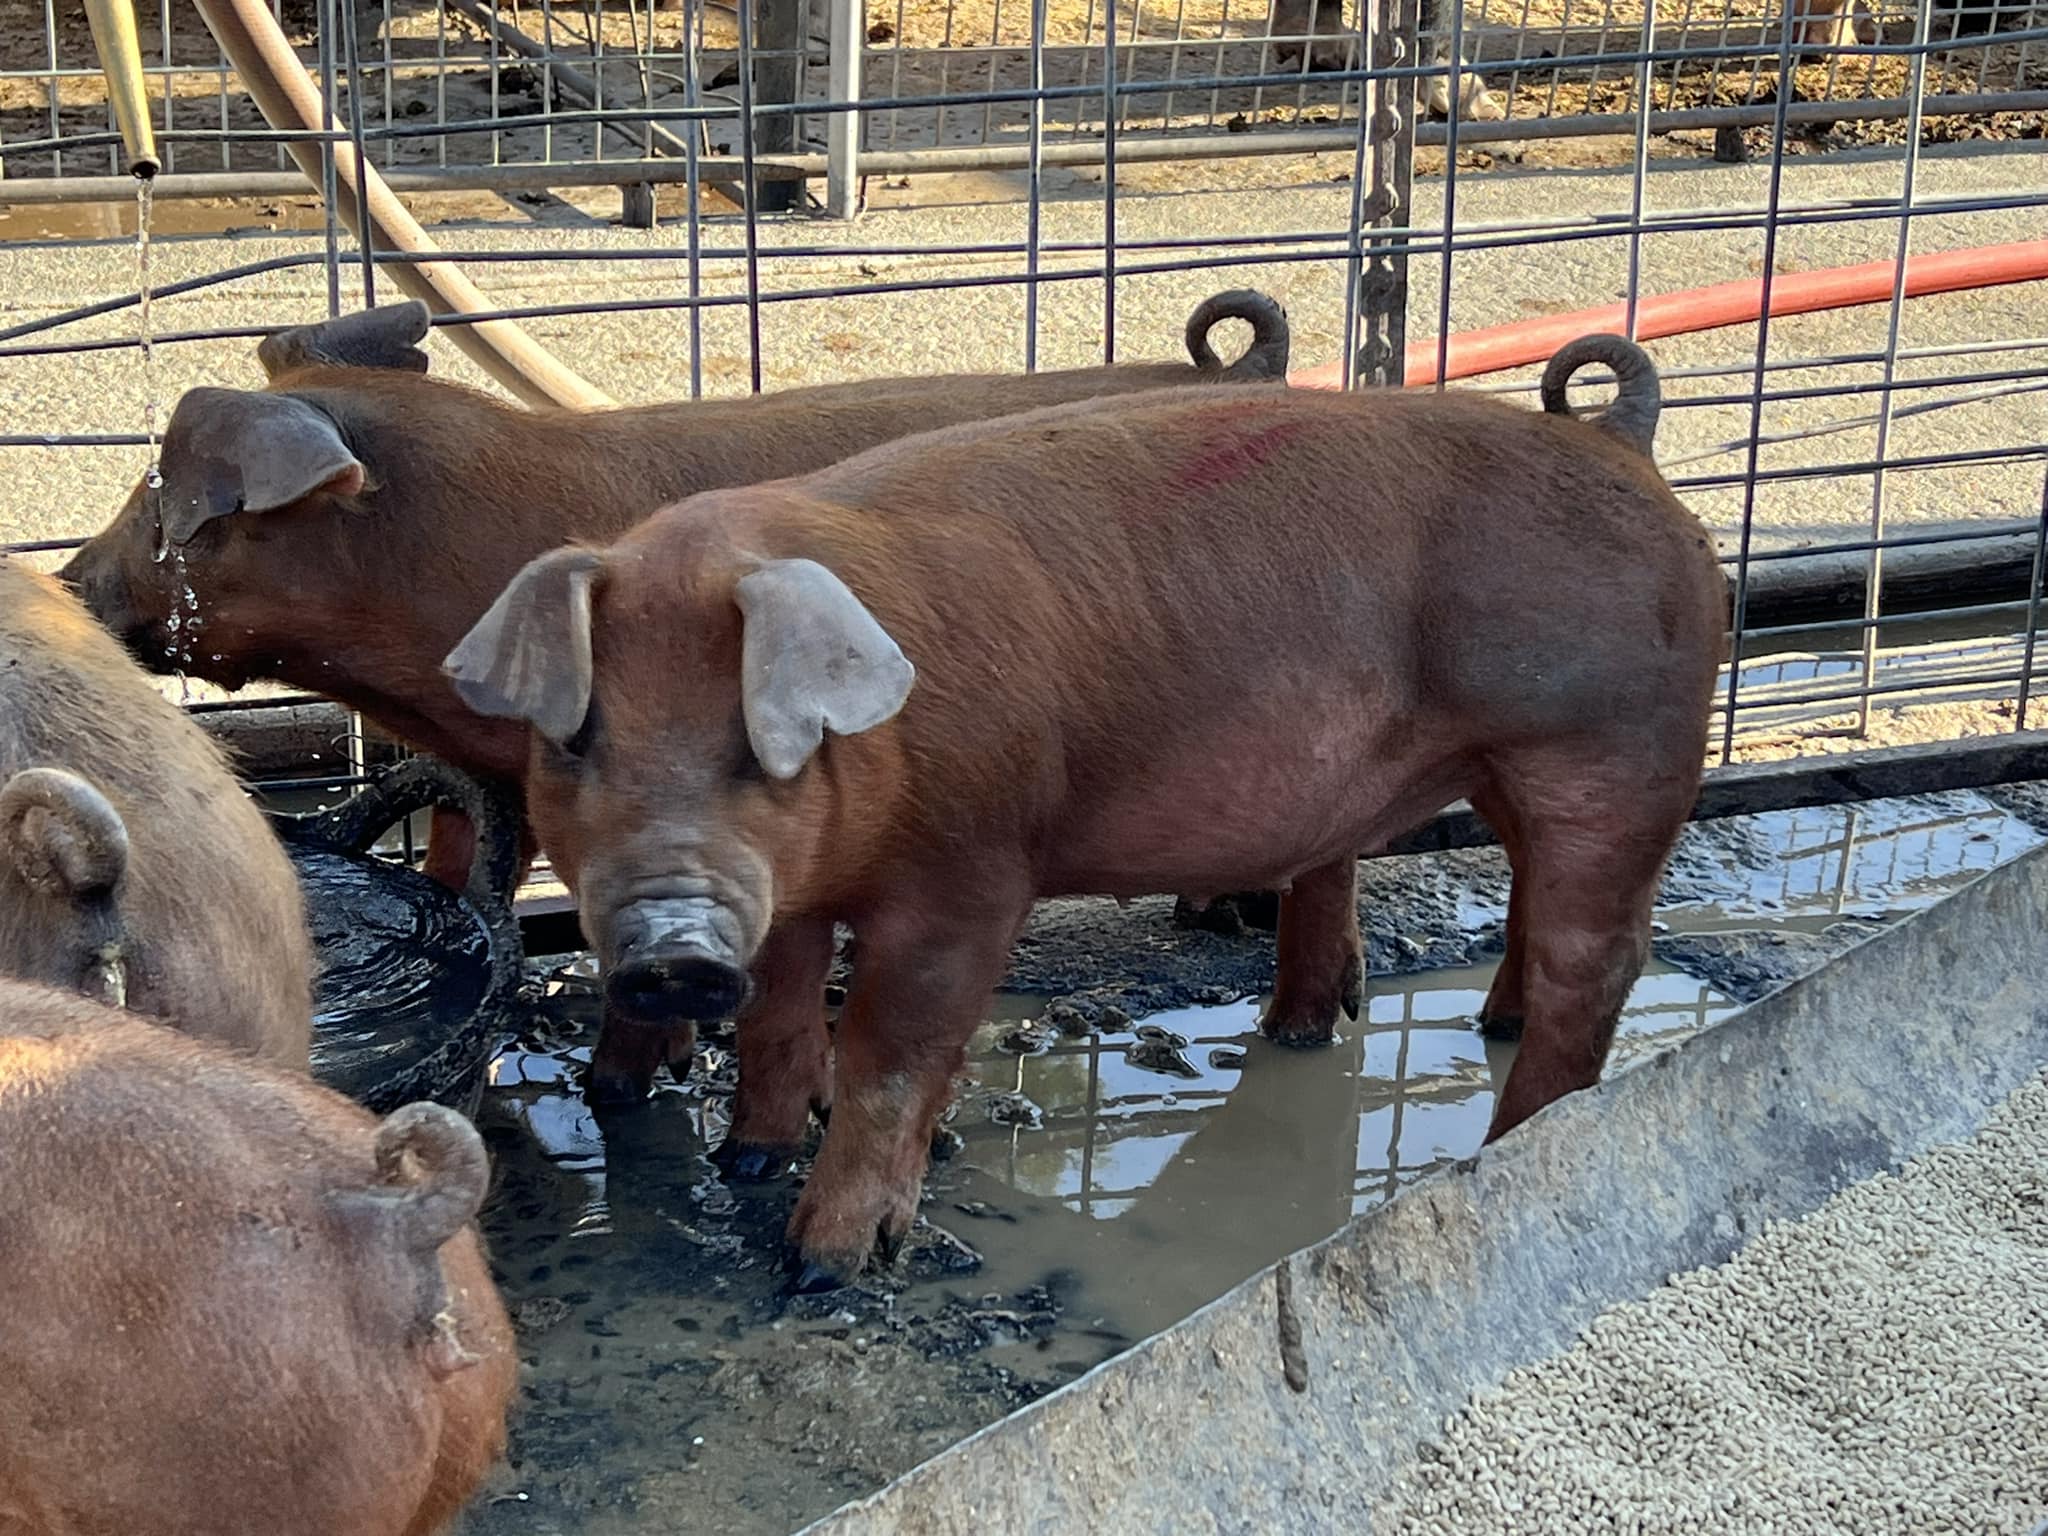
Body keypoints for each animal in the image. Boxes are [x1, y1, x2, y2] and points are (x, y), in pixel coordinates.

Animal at [444, 333, 1724, 1287]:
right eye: (575, 740)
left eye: (758, 746)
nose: (670, 949)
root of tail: (1621, 446)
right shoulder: (792, 896)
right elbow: (778, 1012)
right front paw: (746, 1164)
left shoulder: (972, 869)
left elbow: (892, 1054)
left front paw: (819, 1267)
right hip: (1502, 766)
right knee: (1530, 907)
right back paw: (1419, 1030)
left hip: (1610, 745)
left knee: (1598, 953)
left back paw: (1516, 1139)